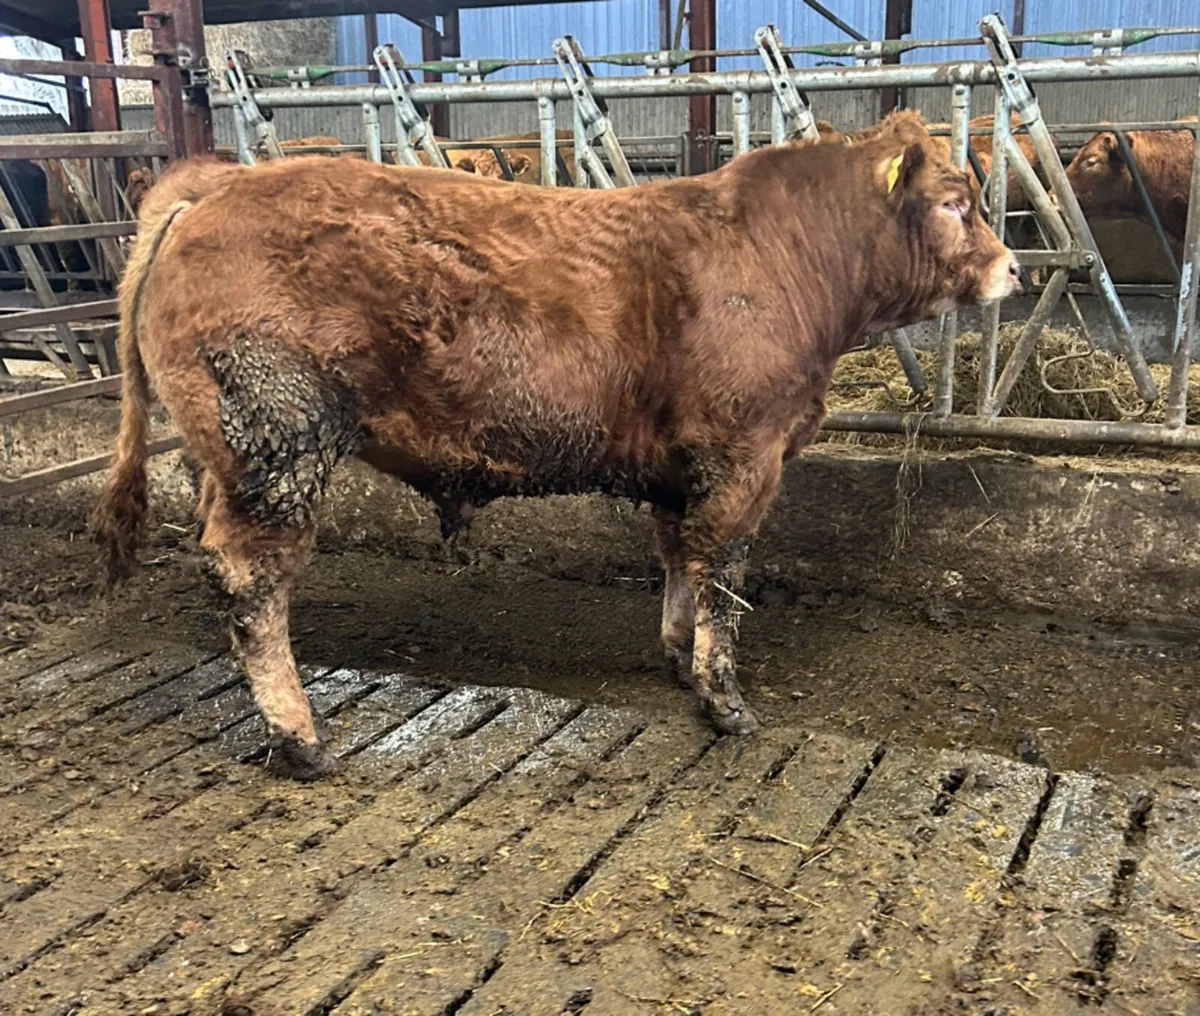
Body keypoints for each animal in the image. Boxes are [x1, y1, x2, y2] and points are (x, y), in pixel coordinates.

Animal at [95, 115, 1021, 780]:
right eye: (956, 202)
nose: (1012, 268)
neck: (786, 257)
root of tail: (217, 184)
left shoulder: (681, 468)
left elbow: (680, 562)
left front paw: (679, 659)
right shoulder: (744, 454)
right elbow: (722, 575)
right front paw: (724, 701)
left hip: (230, 453)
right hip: (282, 443)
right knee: (252, 580)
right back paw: (301, 738)